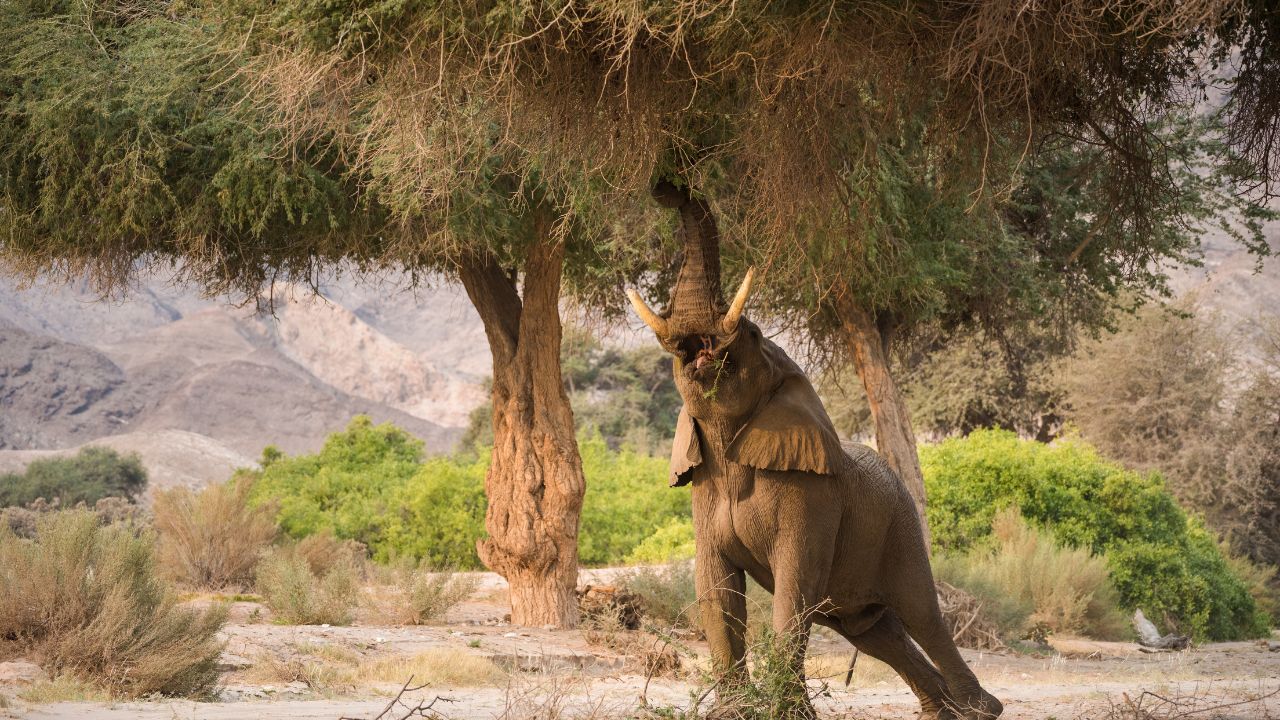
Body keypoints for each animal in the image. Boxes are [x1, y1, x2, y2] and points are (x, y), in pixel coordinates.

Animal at [626, 182, 1003, 720]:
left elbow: (794, 588)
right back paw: (943, 711)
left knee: (920, 612)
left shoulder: (812, 497)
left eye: (753, 334)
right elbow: (717, 591)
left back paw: (980, 710)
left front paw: (788, 714)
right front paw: (734, 714)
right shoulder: (704, 490)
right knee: (870, 628)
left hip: (901, 525)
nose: (667, 187)